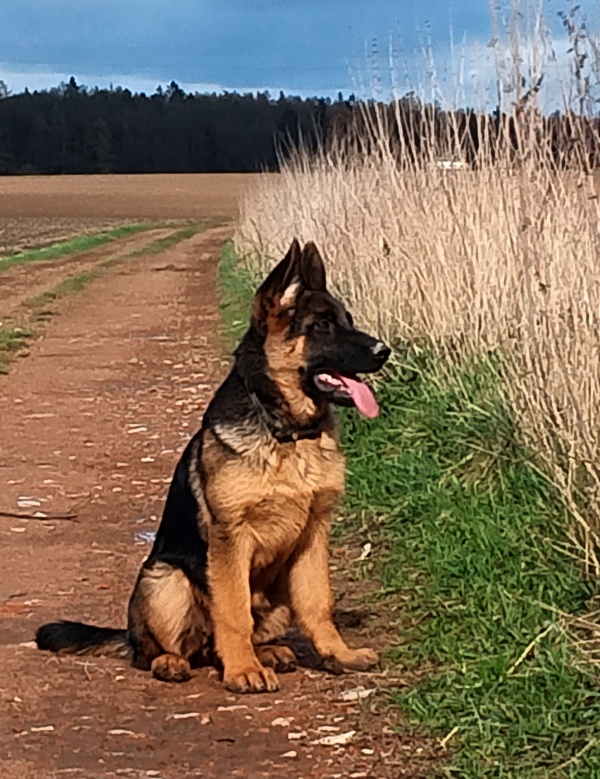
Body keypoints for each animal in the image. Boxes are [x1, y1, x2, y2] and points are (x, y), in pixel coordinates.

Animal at [36, 239, 391, 693]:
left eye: (347, 321)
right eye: (323, 325)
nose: (385, 351)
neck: (285, 432)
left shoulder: (314, 534)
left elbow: (318, 604)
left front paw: (338, 655)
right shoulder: (230, 537)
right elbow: (233, 611)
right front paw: (242, 670)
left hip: (274, 595)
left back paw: (268, 653)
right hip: (164, 579)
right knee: (150, 650)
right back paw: (176, 662)